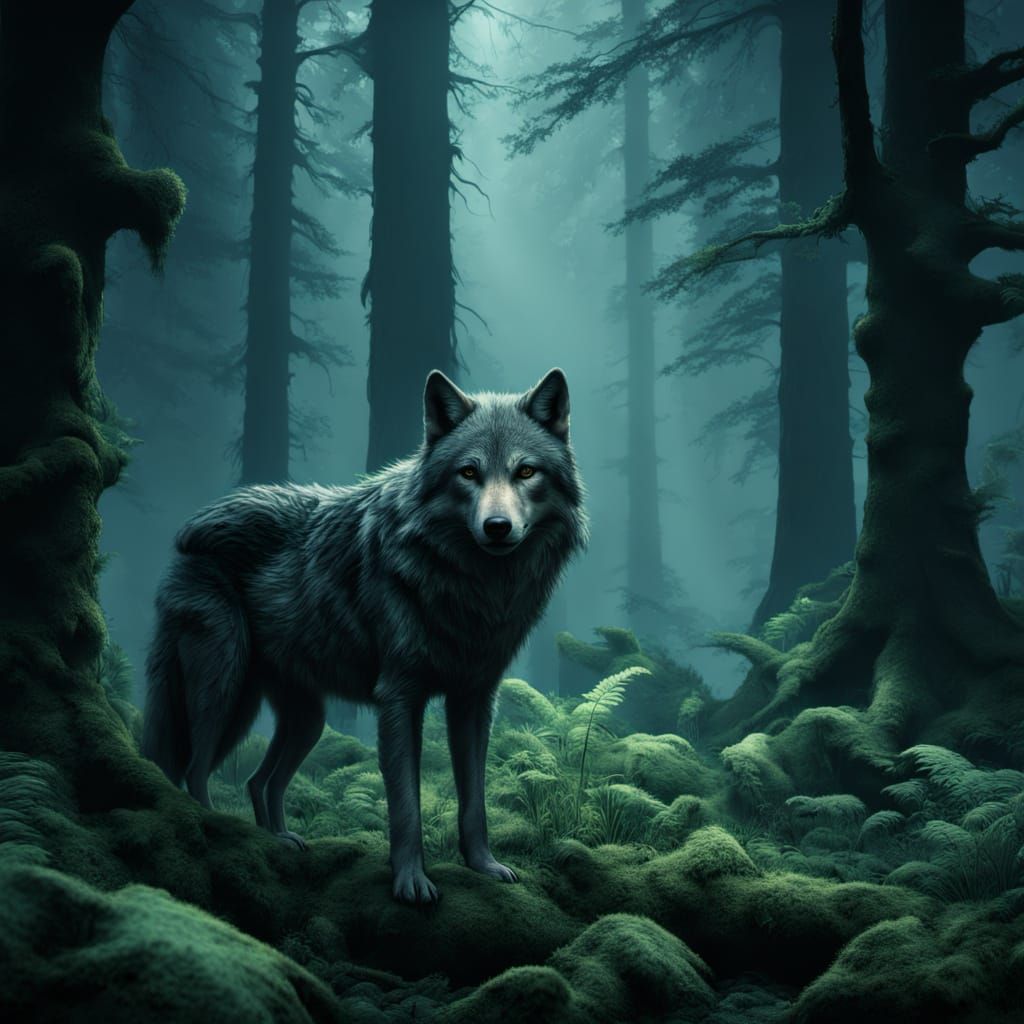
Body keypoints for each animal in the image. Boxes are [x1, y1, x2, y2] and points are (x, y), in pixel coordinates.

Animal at [141, 368, 587, 903]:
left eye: (525, 472)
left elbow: (474, 799)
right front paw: (411, 882)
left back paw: (280, 840)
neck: (471, 586)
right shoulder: (398, 698)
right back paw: (217, 830)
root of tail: (190, 529)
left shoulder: (474, 701)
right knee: (194, 769)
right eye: (468, 473)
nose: (497, 527)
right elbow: (406, 804)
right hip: (222, 690)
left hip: (304, 719)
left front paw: (484, 866)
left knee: (257, 781)